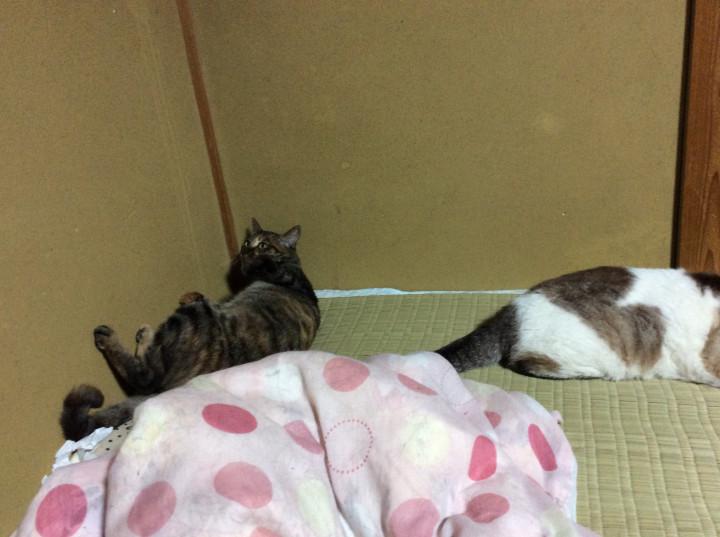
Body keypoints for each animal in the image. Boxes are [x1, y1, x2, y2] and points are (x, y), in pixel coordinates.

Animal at [61, 218, 321, 440]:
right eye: (247, 241)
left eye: (264, 244)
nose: (245, 250)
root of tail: (174, 387)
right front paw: (192, 293)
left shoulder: (278, 272)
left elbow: (265, 265)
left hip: (191, 319)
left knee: (145, 374)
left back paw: (117, 336)